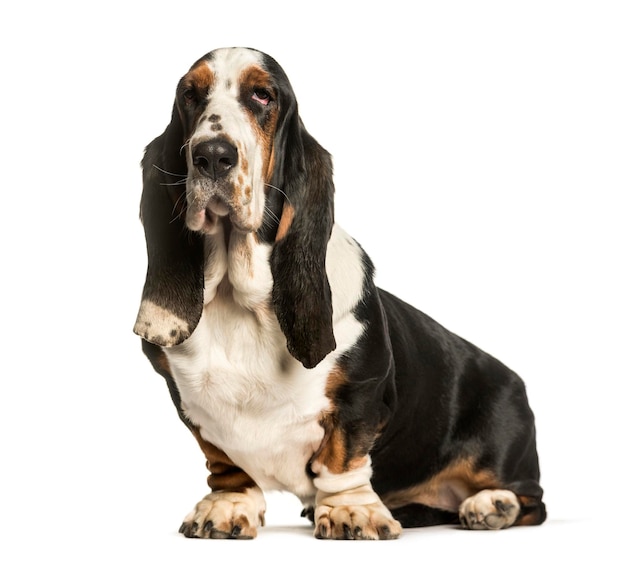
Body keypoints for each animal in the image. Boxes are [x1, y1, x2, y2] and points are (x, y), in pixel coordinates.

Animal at [134, 48, 544, 540]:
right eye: (189, 95)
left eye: (263, 95)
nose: (212, 155)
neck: (241, 301)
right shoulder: (193, 408)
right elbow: (225, 462)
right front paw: (228, 507)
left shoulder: (361, 395)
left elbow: (342, 457)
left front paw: (351, 511)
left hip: (500, 447)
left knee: (531, 500)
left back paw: (491, 505)